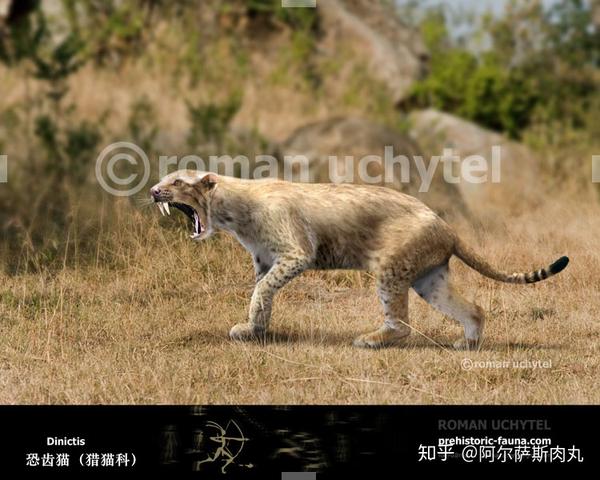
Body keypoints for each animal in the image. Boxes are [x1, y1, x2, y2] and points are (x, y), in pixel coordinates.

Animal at [149, 171, 568, 350]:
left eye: (176, 182)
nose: (153, 191)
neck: (231, 212)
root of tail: (447, 226)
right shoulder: (266, 261)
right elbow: (261, 295)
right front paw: (255, 330)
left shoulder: (297, 254)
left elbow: (262, 291)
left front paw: (253, 328)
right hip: (430, 279)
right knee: (474, 309)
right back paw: (468, 344)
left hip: (391, 269)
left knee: (402, 324)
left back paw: (370, 340)